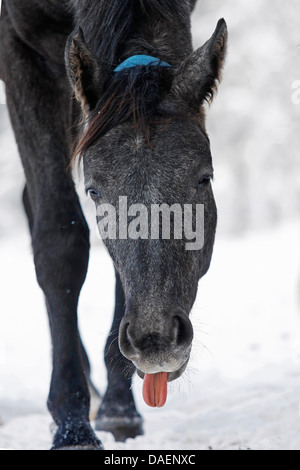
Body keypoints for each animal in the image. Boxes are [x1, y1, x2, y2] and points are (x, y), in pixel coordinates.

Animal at [0, 0, 226, 452]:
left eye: (204, 177)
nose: (156, 341)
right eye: (94, 190)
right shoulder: (18, 50)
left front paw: (120, 409)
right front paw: (72, 426)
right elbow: (60, 242)